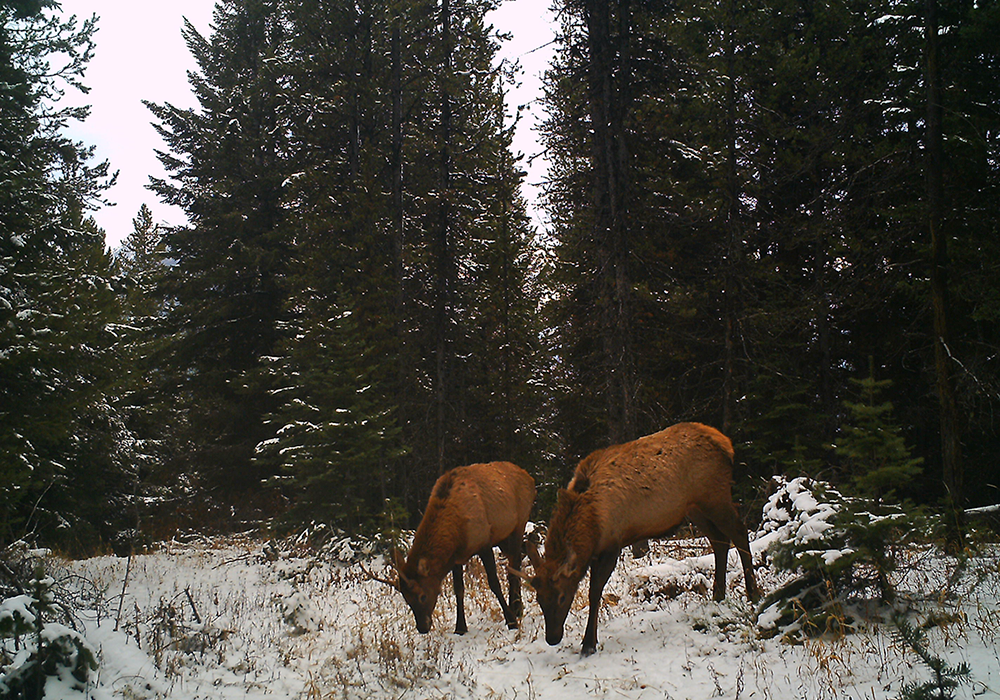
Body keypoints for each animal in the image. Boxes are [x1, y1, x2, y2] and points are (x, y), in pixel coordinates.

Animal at [367, 461, 535, 635]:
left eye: (422, 596)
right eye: (406, 598)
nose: (422, 627)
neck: (457, 531)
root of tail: (529, 477)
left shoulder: (484, 543)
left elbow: (494, 583)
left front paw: (511, 621)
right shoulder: (456, 557)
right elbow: (458, 589)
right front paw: (460, 627)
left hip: (519, 524)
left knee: (514, 566)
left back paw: (516, 609)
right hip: (503, 536)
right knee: (515, 560)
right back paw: (518, 606)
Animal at [514, 422, 759, 655]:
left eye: (563, 597)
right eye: (539, 599)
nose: (552, 638)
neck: (592, 523)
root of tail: (726, 444)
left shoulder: (612, 544)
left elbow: (595, 592)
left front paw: (589, 643)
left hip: (714, 495)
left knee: (739, 532)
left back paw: (753, 594)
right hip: (694, 507)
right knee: (719, 540)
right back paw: (718, 595)